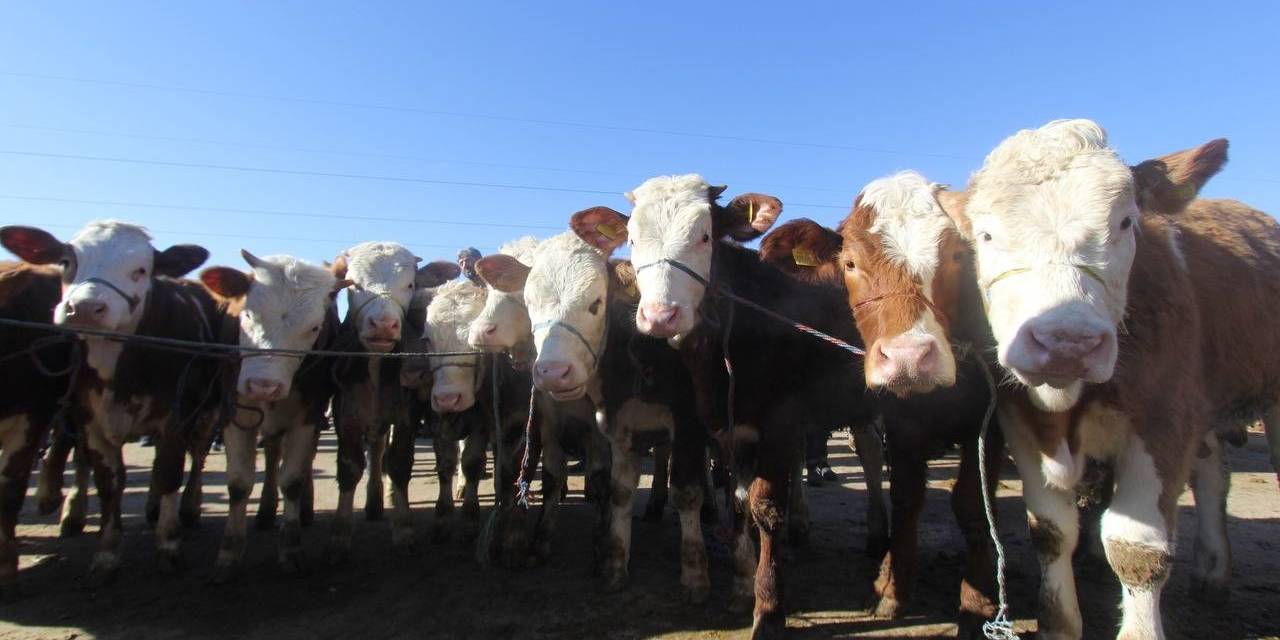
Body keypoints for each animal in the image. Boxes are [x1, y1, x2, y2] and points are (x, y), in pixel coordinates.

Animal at [0, 222, 225, 583]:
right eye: (67, 261)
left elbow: (169, 473)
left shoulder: (174, 418)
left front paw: (169, 545)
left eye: (141, 270)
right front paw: (107, 554)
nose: (85, 308)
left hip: (208, 411)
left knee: (197, 457)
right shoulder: (90, 419)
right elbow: (109, 482)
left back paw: (188, 508)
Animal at [197, 250, 345, 581]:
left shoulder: (309, 415)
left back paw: (304, 509)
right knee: (272, 451)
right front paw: (228, 554)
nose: (263, 385)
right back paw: (265, 512)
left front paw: (291, 550)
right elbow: (239, 482)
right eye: (247, 315)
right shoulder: (234, 412)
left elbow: (292, 479)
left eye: (314, 327)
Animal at [325, 241, 460, 563]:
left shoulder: (407, 415)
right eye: (353, 284)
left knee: (444, 459)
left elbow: (399, 464)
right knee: (376, 451)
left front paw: (403, 530)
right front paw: (338, 536)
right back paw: (376, 501)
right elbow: (350, 468)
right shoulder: (344, 413)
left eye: (409, 284)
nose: (384, 324)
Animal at [947, 119, 1274, 634]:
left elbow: (1136, 548)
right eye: (985, 235)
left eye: (1125, 222)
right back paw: (1212, 573)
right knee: (1212, 478)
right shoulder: (1025, 425)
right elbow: (1051, 531)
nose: (1067, 340)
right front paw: (1058, 625)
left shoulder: (1163, 423)